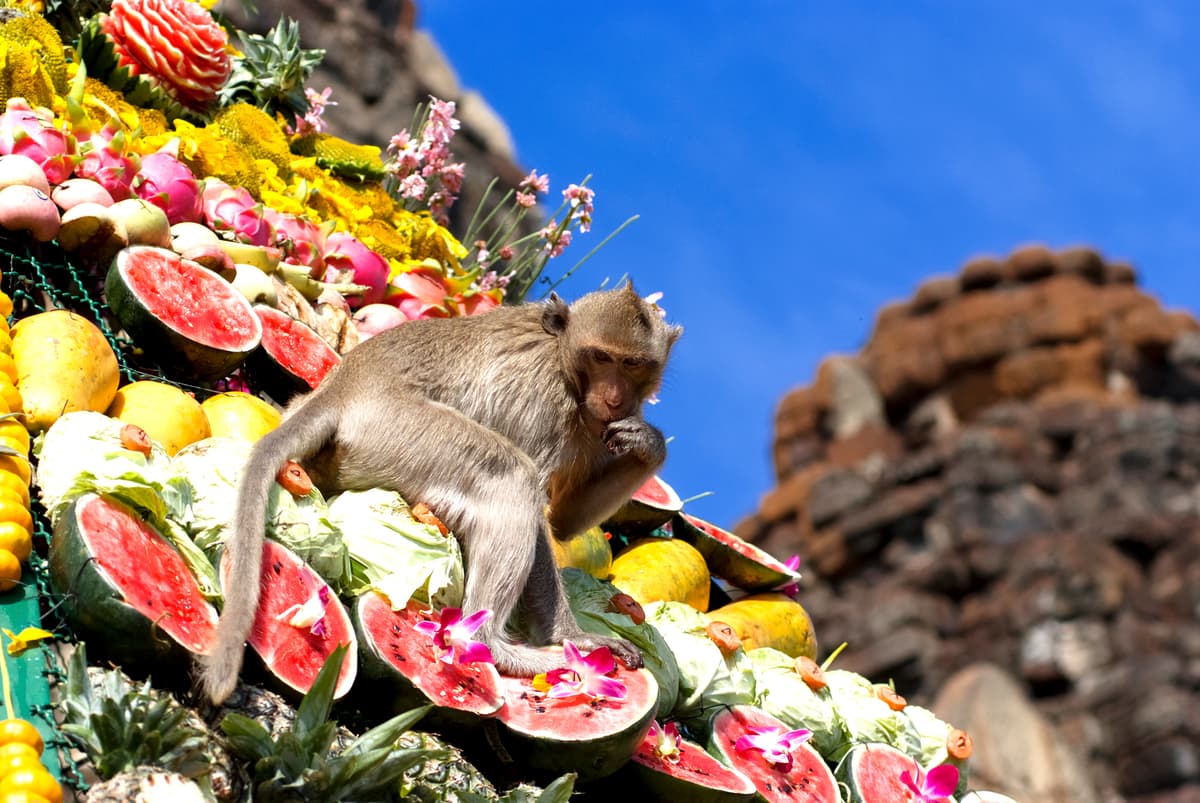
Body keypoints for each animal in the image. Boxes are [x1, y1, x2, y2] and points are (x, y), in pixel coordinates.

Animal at [200, 283, 681, 704]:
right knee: (512, 477)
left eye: (633, 364)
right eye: (601, 357)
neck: (564, 361)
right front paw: (570, 637)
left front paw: (649, 444)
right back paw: (493, 647)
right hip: (401, 433)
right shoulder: (544, 404)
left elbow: (565, 519)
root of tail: (342, 389)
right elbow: (543, 519)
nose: (615, 399)